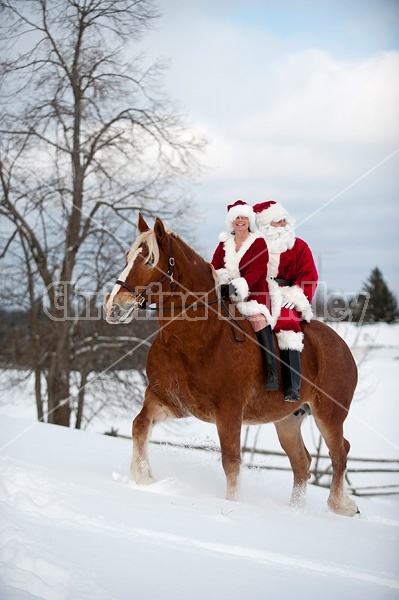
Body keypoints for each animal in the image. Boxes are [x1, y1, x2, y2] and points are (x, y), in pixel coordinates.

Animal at [105, 214, 360, 516]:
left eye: (148, 261)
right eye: (127, 257)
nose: (114, 307)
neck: (196, 338)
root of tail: (342, 347)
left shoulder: (229, 411)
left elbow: (231, 462)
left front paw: (232, 504)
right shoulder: (168, 400)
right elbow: (139, 425)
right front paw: (144, 477)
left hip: (329, 415)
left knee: (339, 452)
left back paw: (341, 505)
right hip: (287, 420)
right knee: (302, 462)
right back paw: (295, 509)